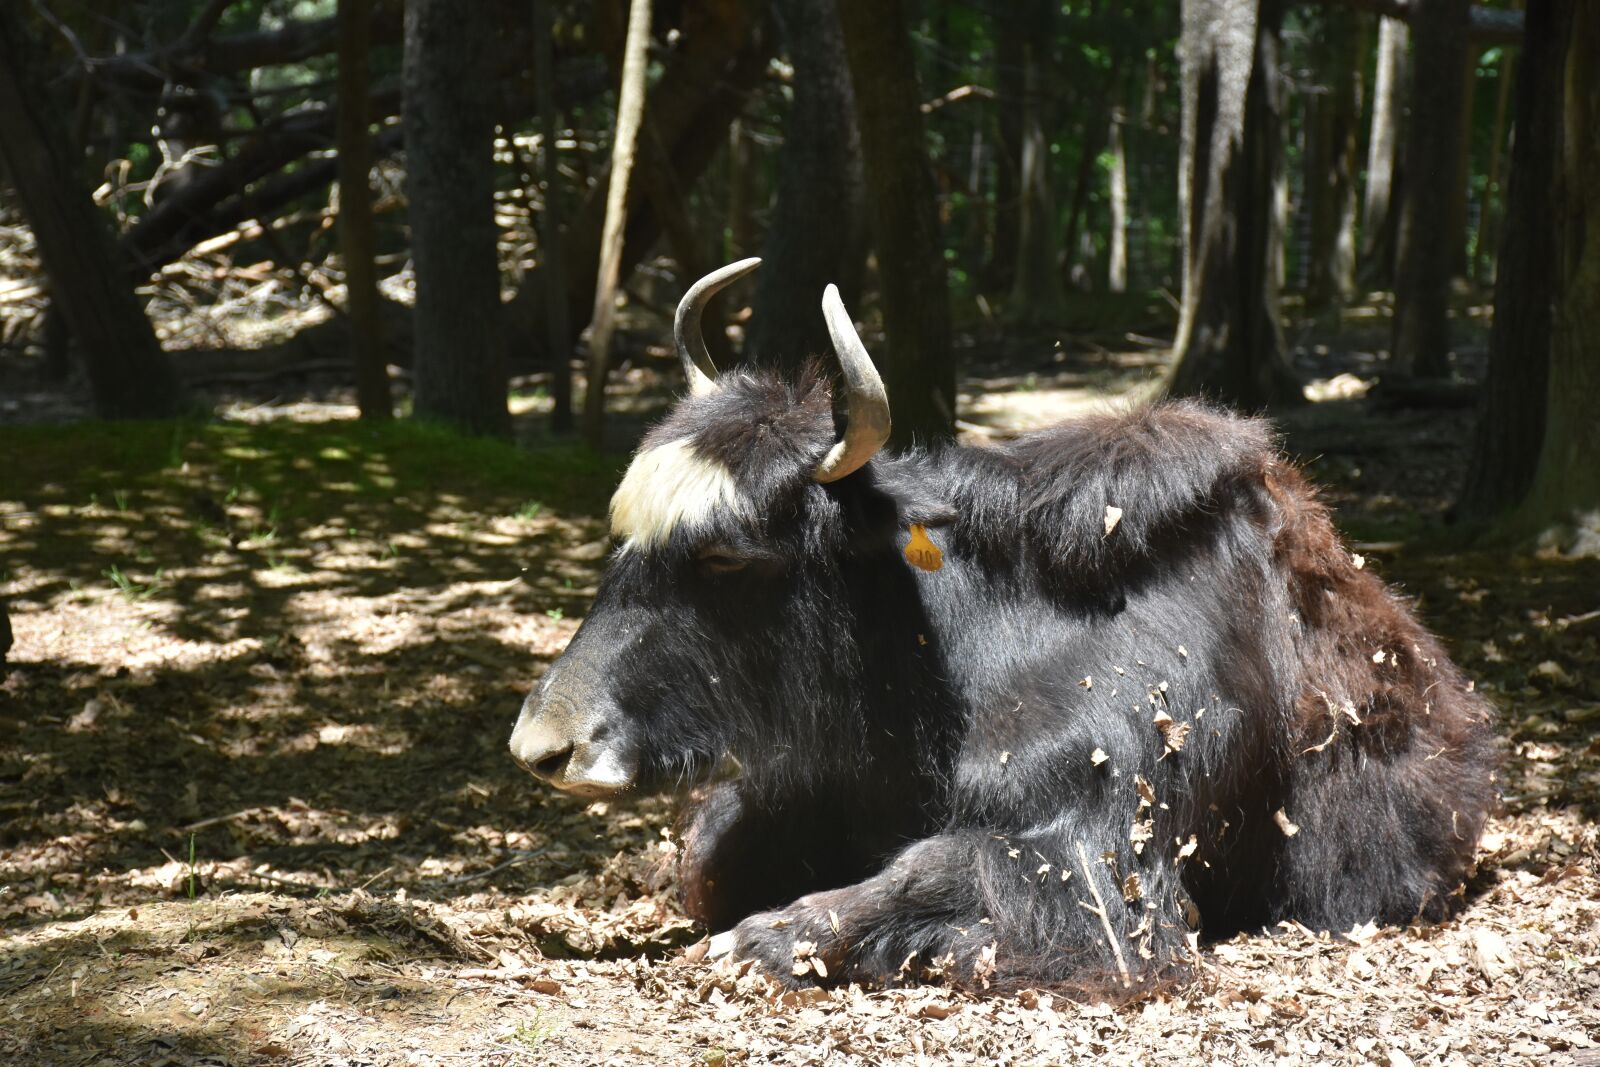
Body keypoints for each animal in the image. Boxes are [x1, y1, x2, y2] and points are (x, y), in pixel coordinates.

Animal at [509, 259, 1498, 995]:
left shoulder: (1095, 850)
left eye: (726, 556)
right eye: (623, 537)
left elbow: (935, 869)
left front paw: (760, 941)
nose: (543, 743)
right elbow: (711, 861)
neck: (940, 662)